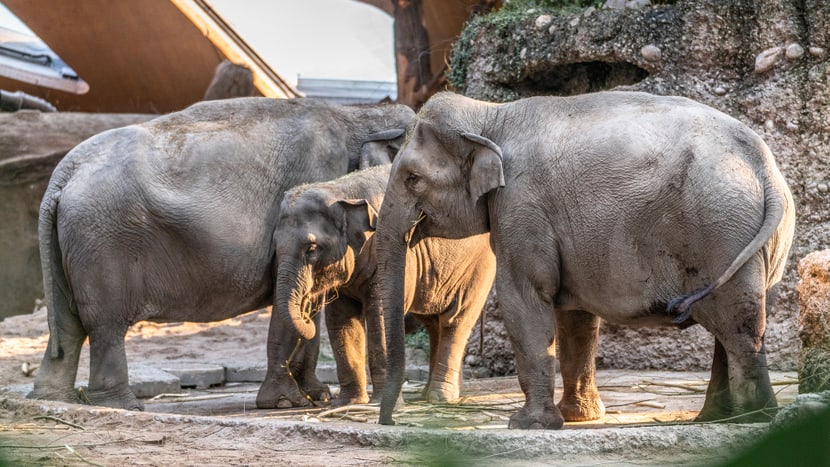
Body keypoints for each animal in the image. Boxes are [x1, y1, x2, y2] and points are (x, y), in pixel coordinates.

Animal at [30, 97, 414, 412]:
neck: (362, 114)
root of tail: (64, 173)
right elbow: (293, 300)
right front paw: (285, 402)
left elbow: (308, 300)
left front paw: (316, 396)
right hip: (102, 241)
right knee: (104, 324)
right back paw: (122, 406)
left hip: (73, 240)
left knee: (67, 323)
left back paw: (52, 399)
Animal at [256, 165, 498, 410]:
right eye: (275, 246)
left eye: (312, 248)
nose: (307, 314)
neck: (341, 190)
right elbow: (341, 321)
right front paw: (347, 403)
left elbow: (380, 319)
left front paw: (383, 402)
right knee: (434, 323)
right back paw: (435, 395)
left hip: (479, 266)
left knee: (455, 320)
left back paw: (440, 397)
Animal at [376, 91, 792, 432]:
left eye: (412, 178)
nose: (390, 422)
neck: (491, 114)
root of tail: (764, 166)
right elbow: (574, 315)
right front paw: (578, 417)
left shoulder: (521, 205)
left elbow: (524, 298)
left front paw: (527, 424)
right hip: (755, 244)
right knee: (742, 319)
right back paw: (717, 418)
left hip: (720, 231)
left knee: (737, 325)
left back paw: (752, 417)